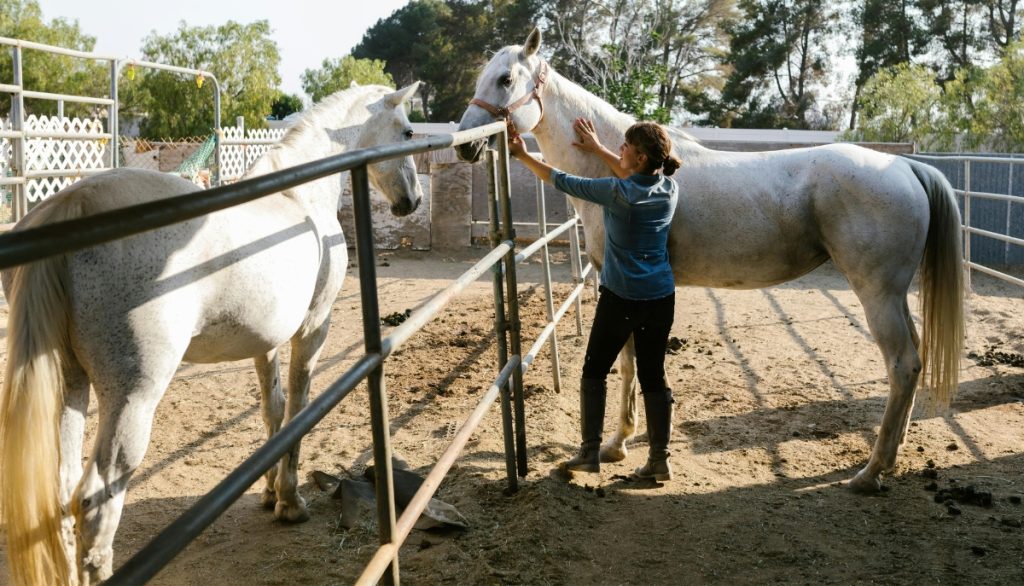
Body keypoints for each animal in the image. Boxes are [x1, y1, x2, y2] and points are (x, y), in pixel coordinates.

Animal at [0, 81, 423, 586]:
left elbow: (273, 409)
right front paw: (290, 501)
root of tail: (73, 203)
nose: (413, 202)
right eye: (408, 130)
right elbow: (298, 408)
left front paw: (268, 492)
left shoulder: (267, 341)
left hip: (70, 382)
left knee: (62, 495)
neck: (299, 198)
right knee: (95, 502)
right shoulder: (312, 328)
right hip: (131, 397)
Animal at [456, 28, 964, 494]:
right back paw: (892, 457)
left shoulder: (615, 290)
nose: (464, 144)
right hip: (894, 294)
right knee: (915, 359)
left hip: (877, 293)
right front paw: (626, 441)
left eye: (505, 79)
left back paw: (870, 471)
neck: (618, 171)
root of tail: (905, 166)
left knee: (901, 364)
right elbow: (633, 365)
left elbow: (625, 363)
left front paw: (615, 446)